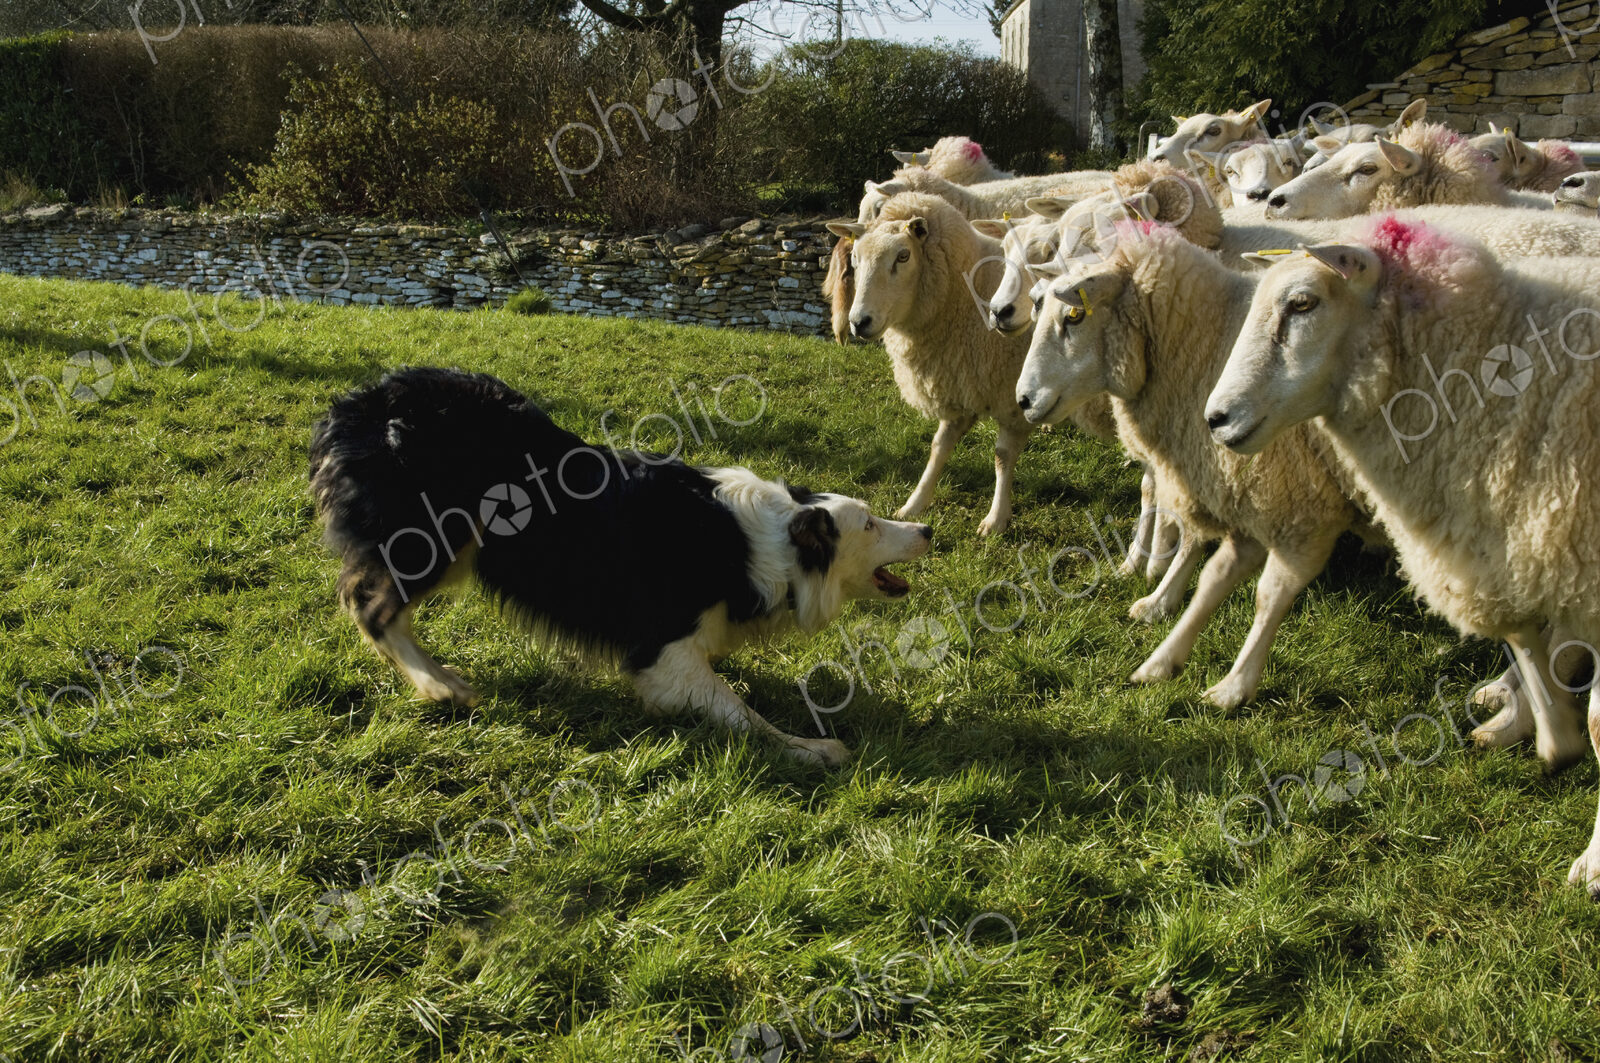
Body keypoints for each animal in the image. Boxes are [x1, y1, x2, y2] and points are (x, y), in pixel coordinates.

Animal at [826, 193, 1115, 536]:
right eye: (855, 258)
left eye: (903, 256)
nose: (859, 322)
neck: (962, 297)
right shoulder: (959, 382)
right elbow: (939, 447)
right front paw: (914, 503)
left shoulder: (1011, 398)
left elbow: (1002, 456)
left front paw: (996, 519)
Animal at [1013, 220, 1360, 708]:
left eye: (1075, 316)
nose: (1023, 400)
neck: (1206, 343)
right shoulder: (1225, 476)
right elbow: (1185, 528)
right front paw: (1156, 588)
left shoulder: (1298, 503)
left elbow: (1262, 586)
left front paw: (1229, 680)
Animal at [1200, 218, 1600, 892]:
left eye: (1302, 304)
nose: (1216, 419)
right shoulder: (1513, 536)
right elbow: (1524, 632)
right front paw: (1551, 735)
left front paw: (1593, 862)